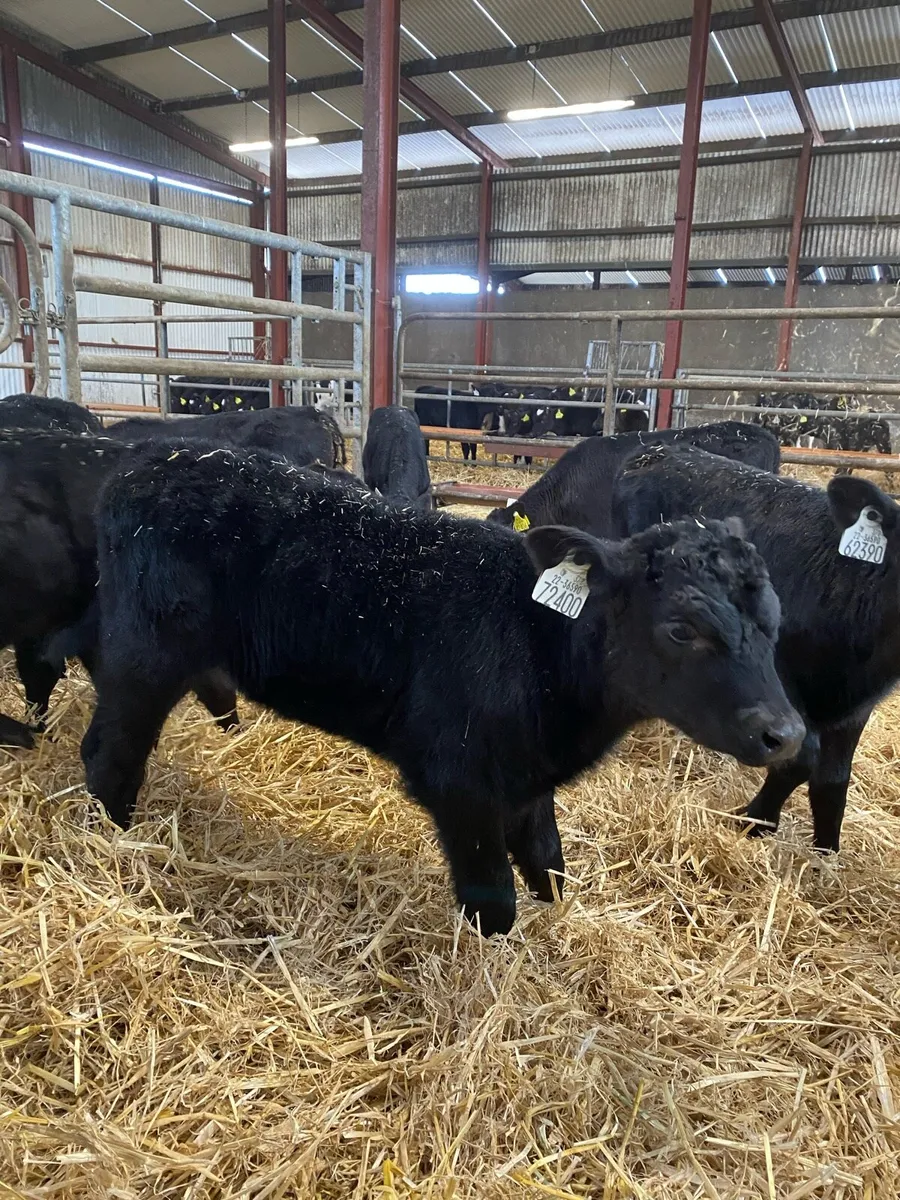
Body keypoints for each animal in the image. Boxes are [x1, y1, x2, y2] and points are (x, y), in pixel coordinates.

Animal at [81, 441, 803, 936]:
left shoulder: (526, 775)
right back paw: (116, 846)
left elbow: (548, 863)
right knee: (108, 752)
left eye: (774, 617)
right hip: (142, 655)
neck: (537, 640)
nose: (786, 733)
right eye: (682, 628)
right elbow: (493, 903)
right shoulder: (459, 783)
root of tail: (148, 459)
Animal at [612, 443, 900, 853]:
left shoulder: (856, 708)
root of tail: (660, 450)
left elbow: (833, 778)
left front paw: (826, 852)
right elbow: (798, 757)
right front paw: (755, 821)